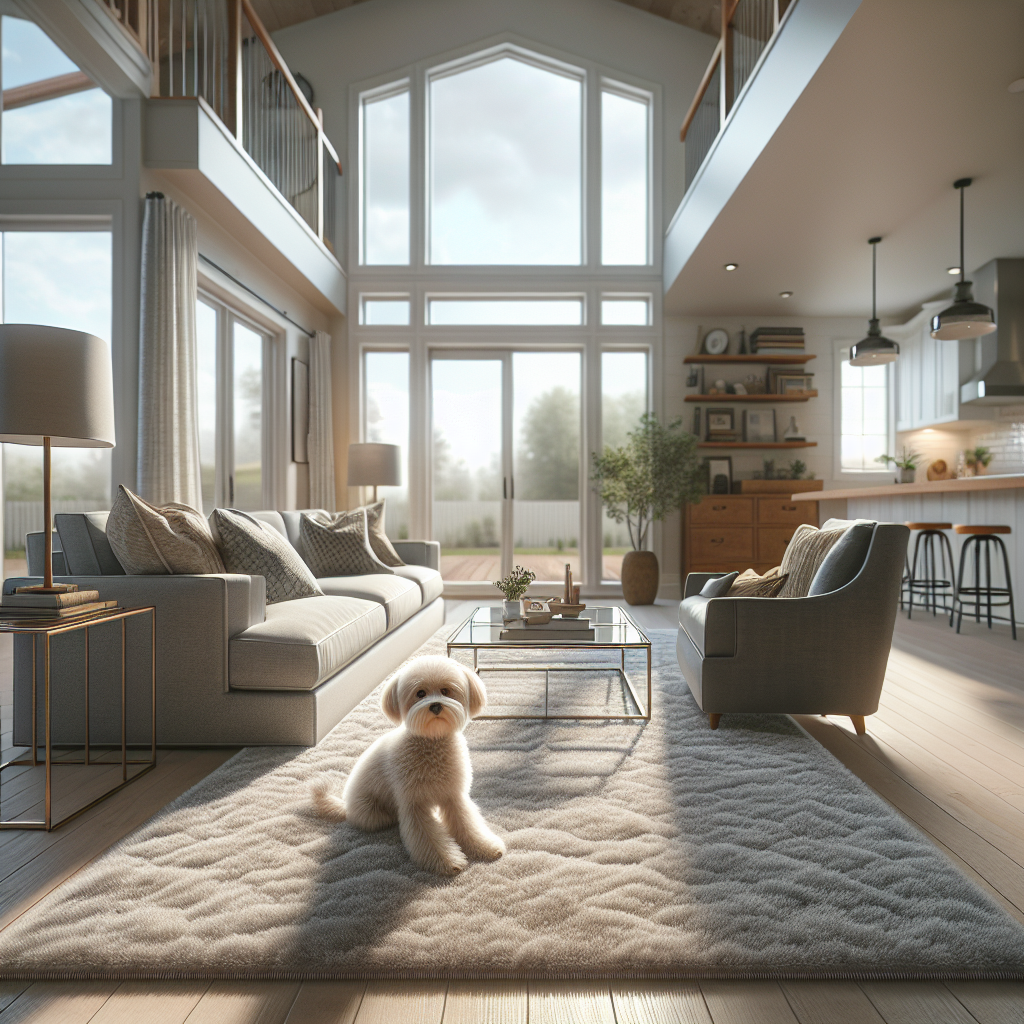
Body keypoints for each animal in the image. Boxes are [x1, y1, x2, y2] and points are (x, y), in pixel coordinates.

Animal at [309, 651, 505, 876]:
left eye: (445, 691)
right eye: (420, 693)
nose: (435, 706)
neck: (431, 745)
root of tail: (346, 806)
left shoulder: (454, 797)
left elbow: (468, 825)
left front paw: (485, 847)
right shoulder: (414, 804)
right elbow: (427, 837)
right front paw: (447, 861)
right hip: (374, 813)